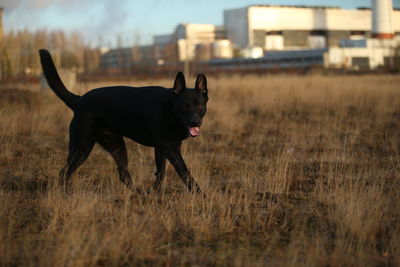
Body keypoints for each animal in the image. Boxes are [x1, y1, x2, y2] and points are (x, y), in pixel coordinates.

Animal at [39, 49, 208, 194]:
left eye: (199, 106)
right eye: (184, 107)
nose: (195, 122)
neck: (170, 109)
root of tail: (78, 100)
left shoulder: (164, 148)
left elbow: (161, 172)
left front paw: (154, 192)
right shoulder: (170, 149)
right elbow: (185, 173)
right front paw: (201, 195)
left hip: (117, 146)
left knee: (123, 174)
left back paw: (140, 194)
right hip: (82, 147)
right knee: (64, 172)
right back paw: (64, 194)